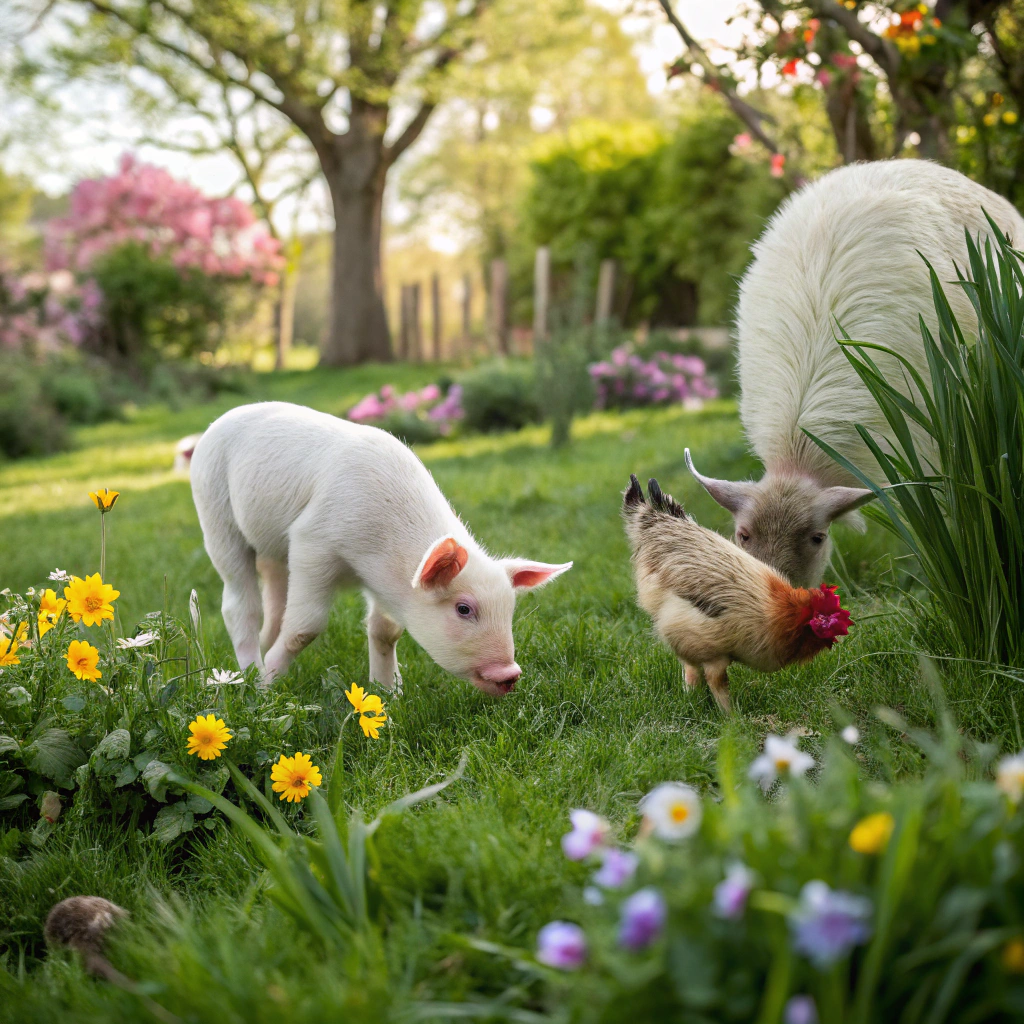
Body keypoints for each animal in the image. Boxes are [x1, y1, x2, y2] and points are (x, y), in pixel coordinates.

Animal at [622, 475, 850, 712]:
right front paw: (731, 716)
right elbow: (717, 684)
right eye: (823, 618)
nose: (845, 628)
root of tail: (654, 522)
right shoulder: (712, 655)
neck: (774, 613)